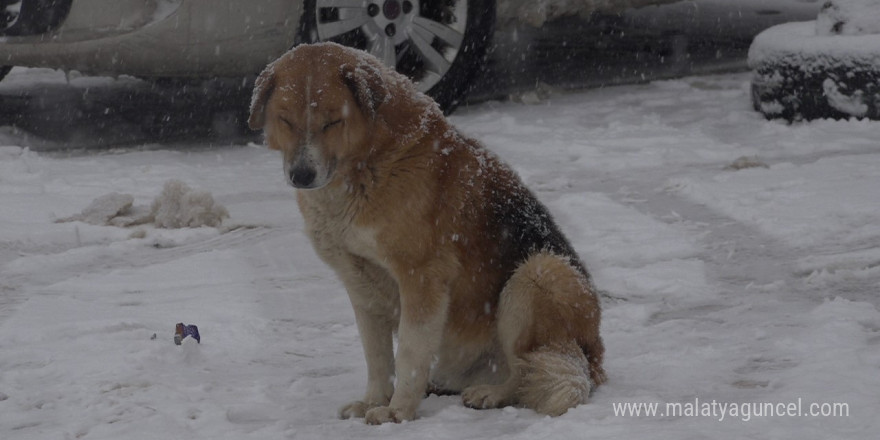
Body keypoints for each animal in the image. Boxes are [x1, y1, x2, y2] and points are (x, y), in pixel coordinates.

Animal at [248, 43, 604, 424]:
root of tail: (595, 361)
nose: (301, 175)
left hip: (539, 274)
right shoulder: (359, 283)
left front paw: (397, 411)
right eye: (286, 120)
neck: (369, 165)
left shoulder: (421, 278)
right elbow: (377, 357)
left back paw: (492, 393)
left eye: (333, 122)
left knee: (524, 369)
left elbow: (408, 353)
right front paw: (373, 401)